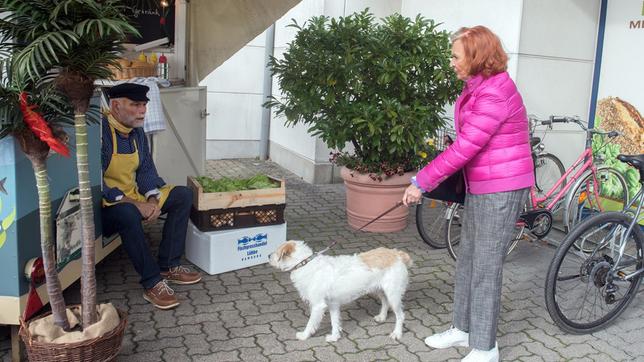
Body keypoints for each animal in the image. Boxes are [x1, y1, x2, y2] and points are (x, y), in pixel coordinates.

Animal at [268, 240, 412, 342]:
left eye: (277, 252)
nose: (268, 255)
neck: (305, 263)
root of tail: (397, 254)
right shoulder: (333, 304)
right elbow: (335, 321)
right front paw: (335, 336)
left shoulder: (318, 305)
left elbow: (311, 323)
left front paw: (304, 335)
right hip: (380, 290)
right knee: (385, 302)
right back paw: (382, 316)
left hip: (393, 295)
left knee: (400, 315)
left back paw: (397, 333)